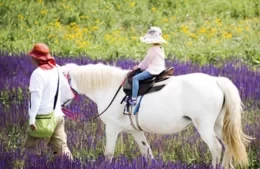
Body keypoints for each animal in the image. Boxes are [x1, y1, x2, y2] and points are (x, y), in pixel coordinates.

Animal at [61, 62, 252, 168]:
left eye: (60, 83)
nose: (58, 107)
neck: (109, 87)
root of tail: (216, 81)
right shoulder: (135, 131)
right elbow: (147, 152)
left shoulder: (112, 128)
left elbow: (109, 153)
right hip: (219, 125)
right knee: (228, 145)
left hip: (204, 127)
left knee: (216, 148)